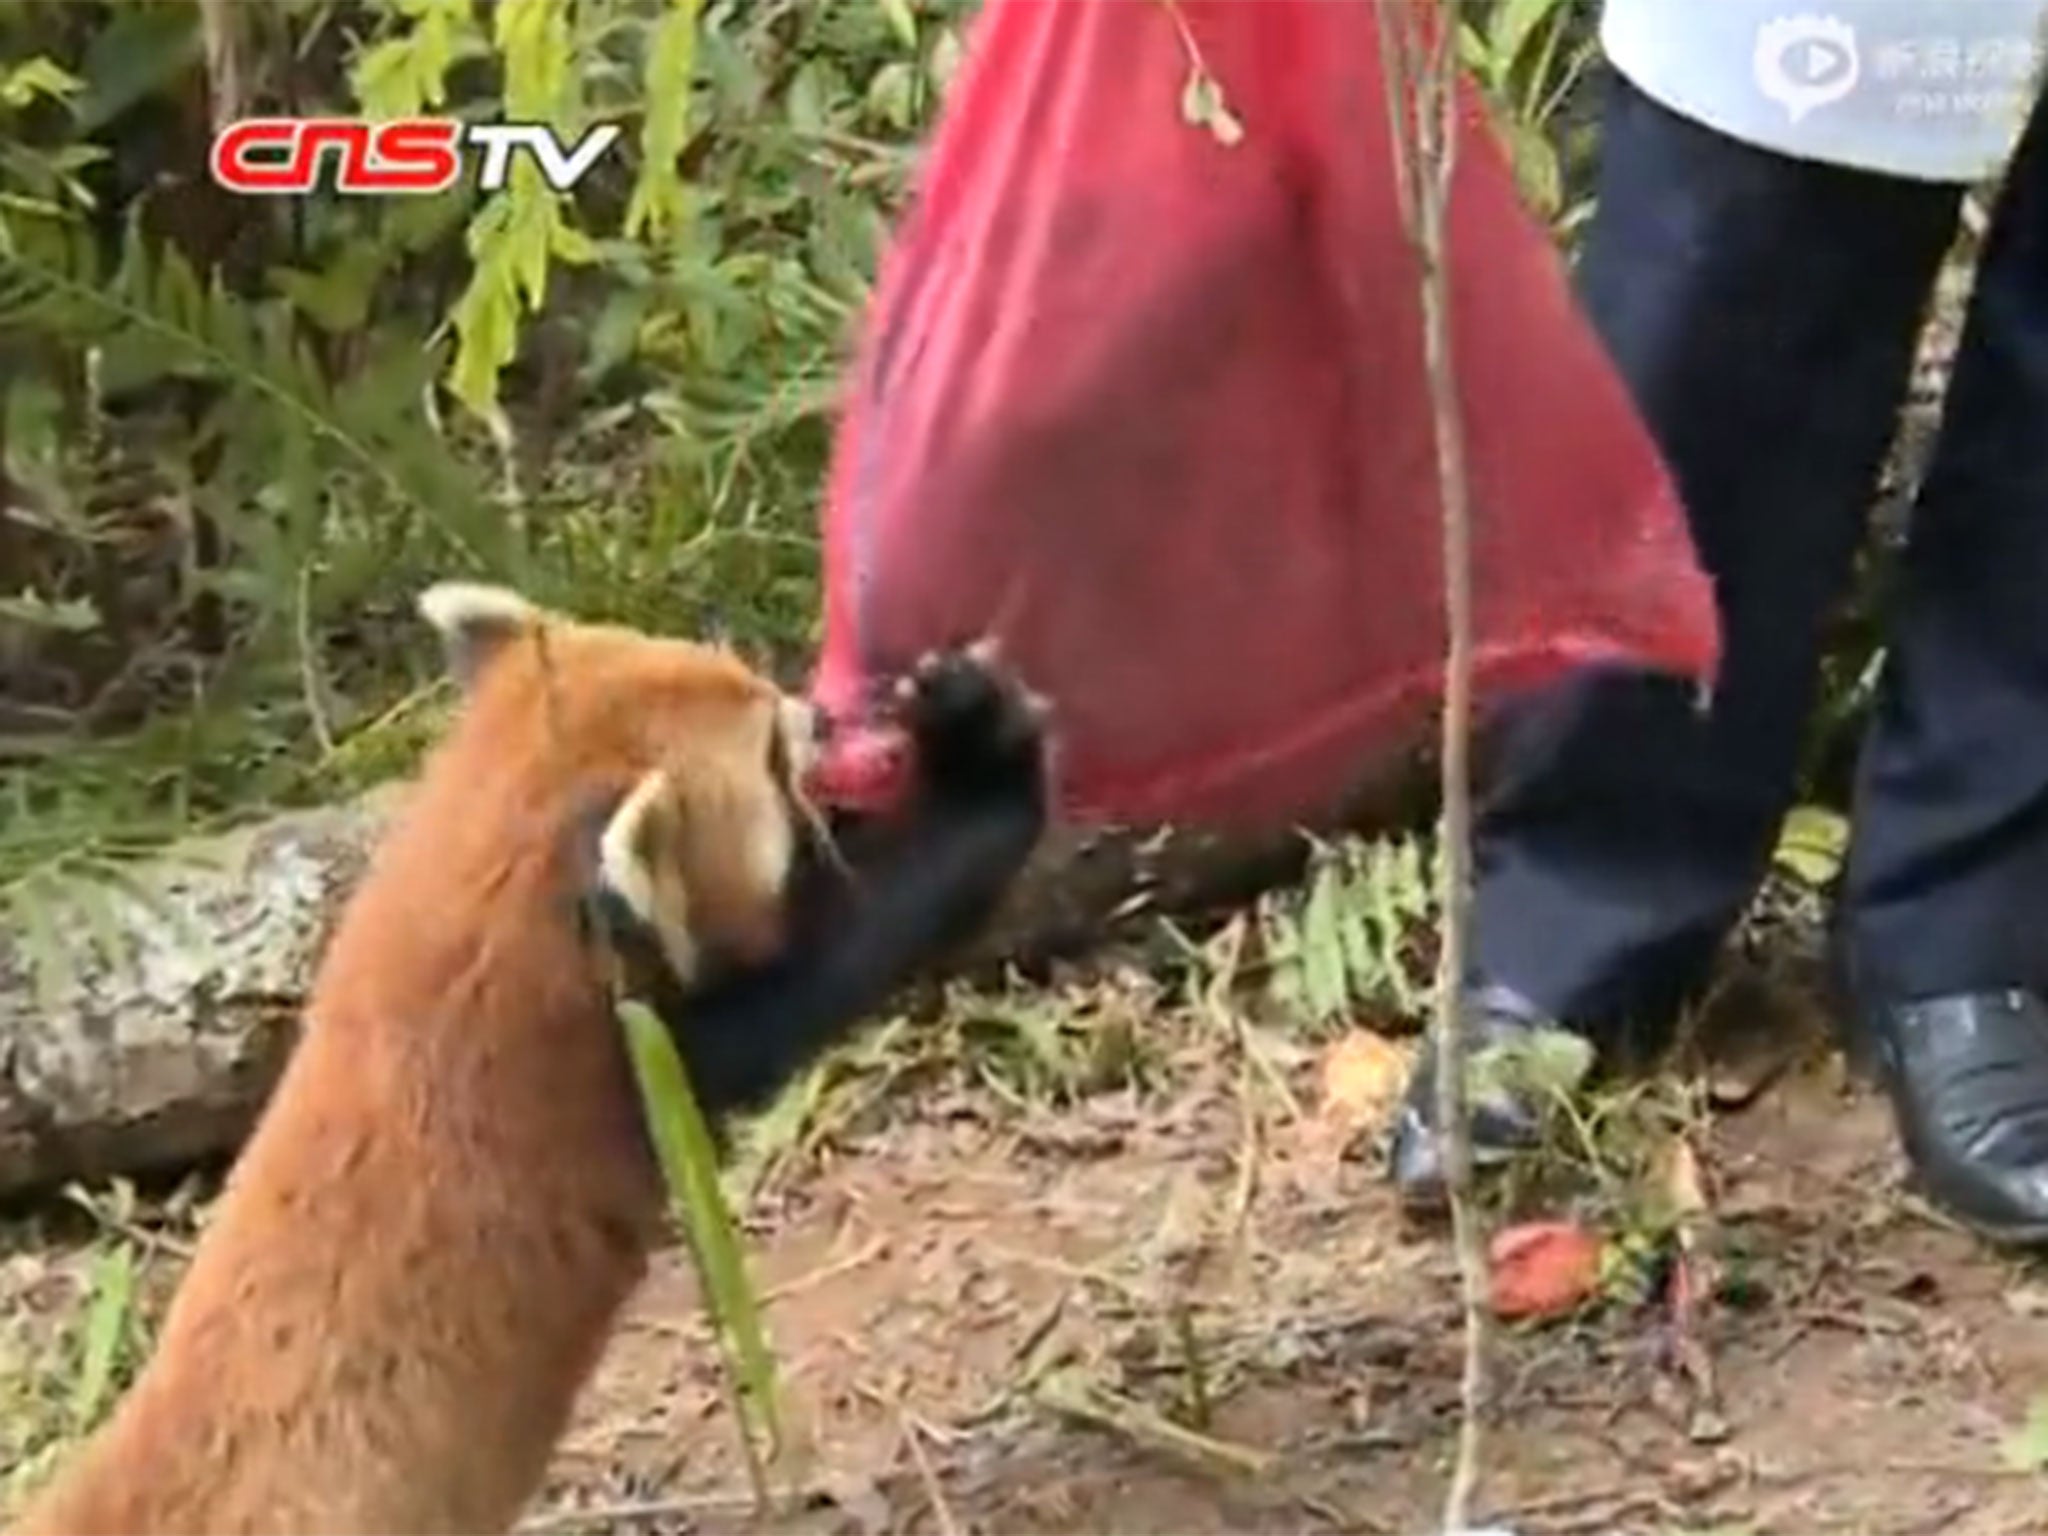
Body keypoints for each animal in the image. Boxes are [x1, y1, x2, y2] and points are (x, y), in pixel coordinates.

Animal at [8, 581, 1048, 1531]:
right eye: (766, 747)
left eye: (748, 680)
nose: (819, 713)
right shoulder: (622, 1063)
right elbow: (834, 952)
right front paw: (987, 767)